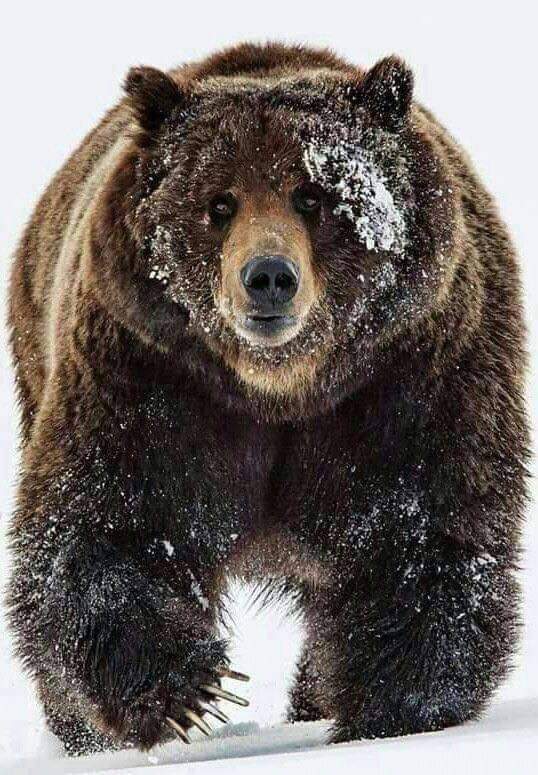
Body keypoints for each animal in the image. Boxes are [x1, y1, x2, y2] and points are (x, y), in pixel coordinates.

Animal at [7, 42, 529, 756]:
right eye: (218, 203)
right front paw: (194, 689)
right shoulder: (151, 378)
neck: (279, 390)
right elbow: (100, 526)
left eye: (313, 194)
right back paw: (83, 737)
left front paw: (389, 711)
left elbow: (423, 537)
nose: (269, 277)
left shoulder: (408, 379)